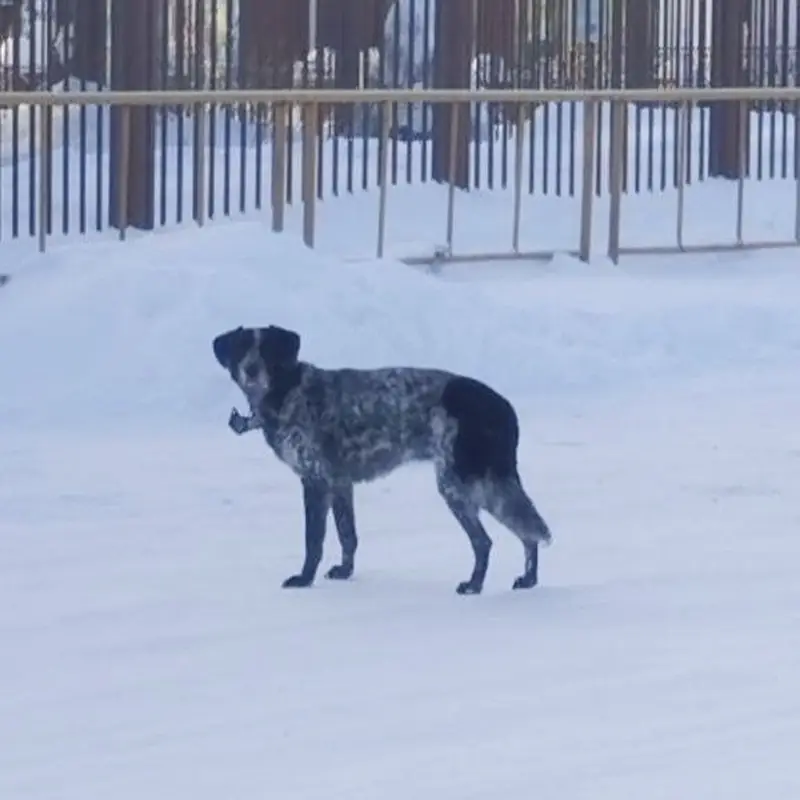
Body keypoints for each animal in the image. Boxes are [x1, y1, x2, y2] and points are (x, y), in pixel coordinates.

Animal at [212, 324, 552, 594]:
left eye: (266, 349)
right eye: (242, 348)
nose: (250, 369)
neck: (287, 391)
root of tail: (503, 406)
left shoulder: (315, 481)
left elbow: (314, 540)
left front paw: (305, 579)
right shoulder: (340, 484)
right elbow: (347, 535)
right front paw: (345, 572)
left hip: (459, 484)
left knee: (487, 541)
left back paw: (474, 585)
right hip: (488, 481)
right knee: (526, 529)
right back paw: (528, 579)